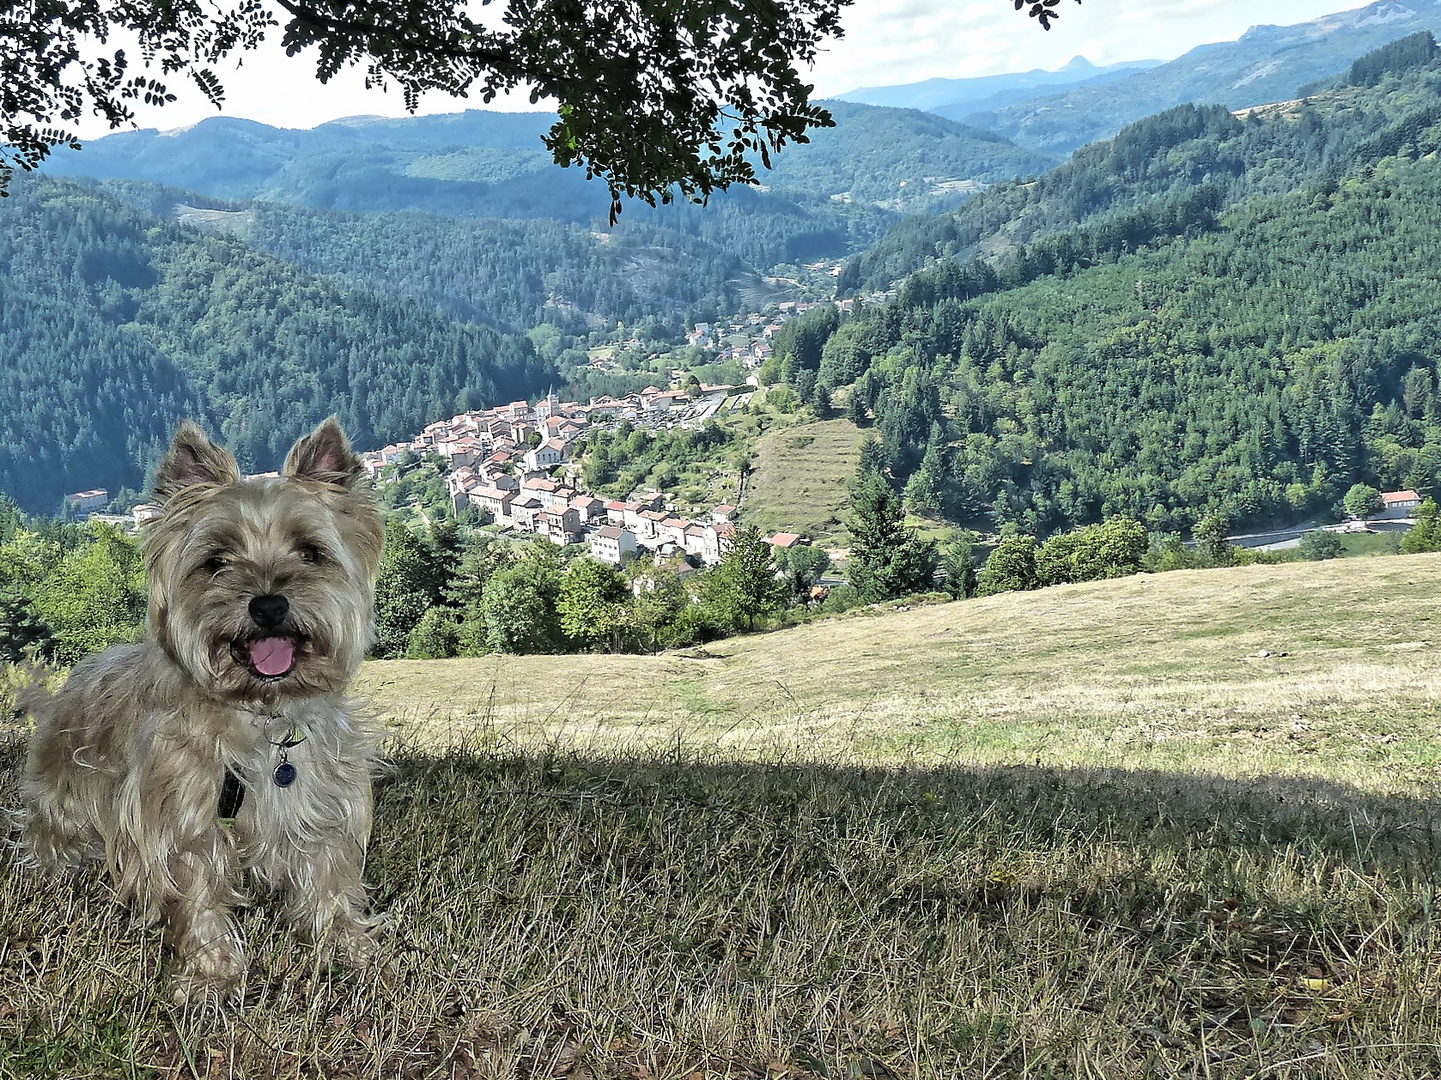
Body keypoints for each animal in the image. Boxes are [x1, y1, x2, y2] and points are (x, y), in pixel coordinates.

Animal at [19, 415, 389, 1003]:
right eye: (216, 561)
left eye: (310, 551)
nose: (268, 604)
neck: (262, 716)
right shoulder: (181, 813)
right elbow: (197, 893)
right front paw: (212, 974)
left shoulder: (322, 804)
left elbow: (329, 877)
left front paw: (349, 947)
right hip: (62, 802)